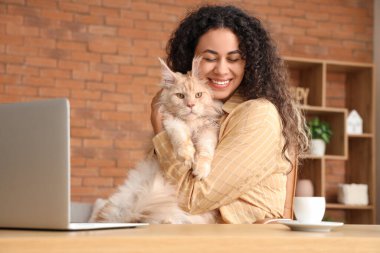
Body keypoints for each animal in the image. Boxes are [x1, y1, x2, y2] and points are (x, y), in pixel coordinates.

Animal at [89, 57, 224, 223]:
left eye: (198, 95)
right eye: (180, 96)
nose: (191, 105)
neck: (191, 123)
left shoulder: (208, 129)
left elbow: (205, 151)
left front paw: (200, 170)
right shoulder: (171, 121)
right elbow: (182, 138)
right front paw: (186, 156)